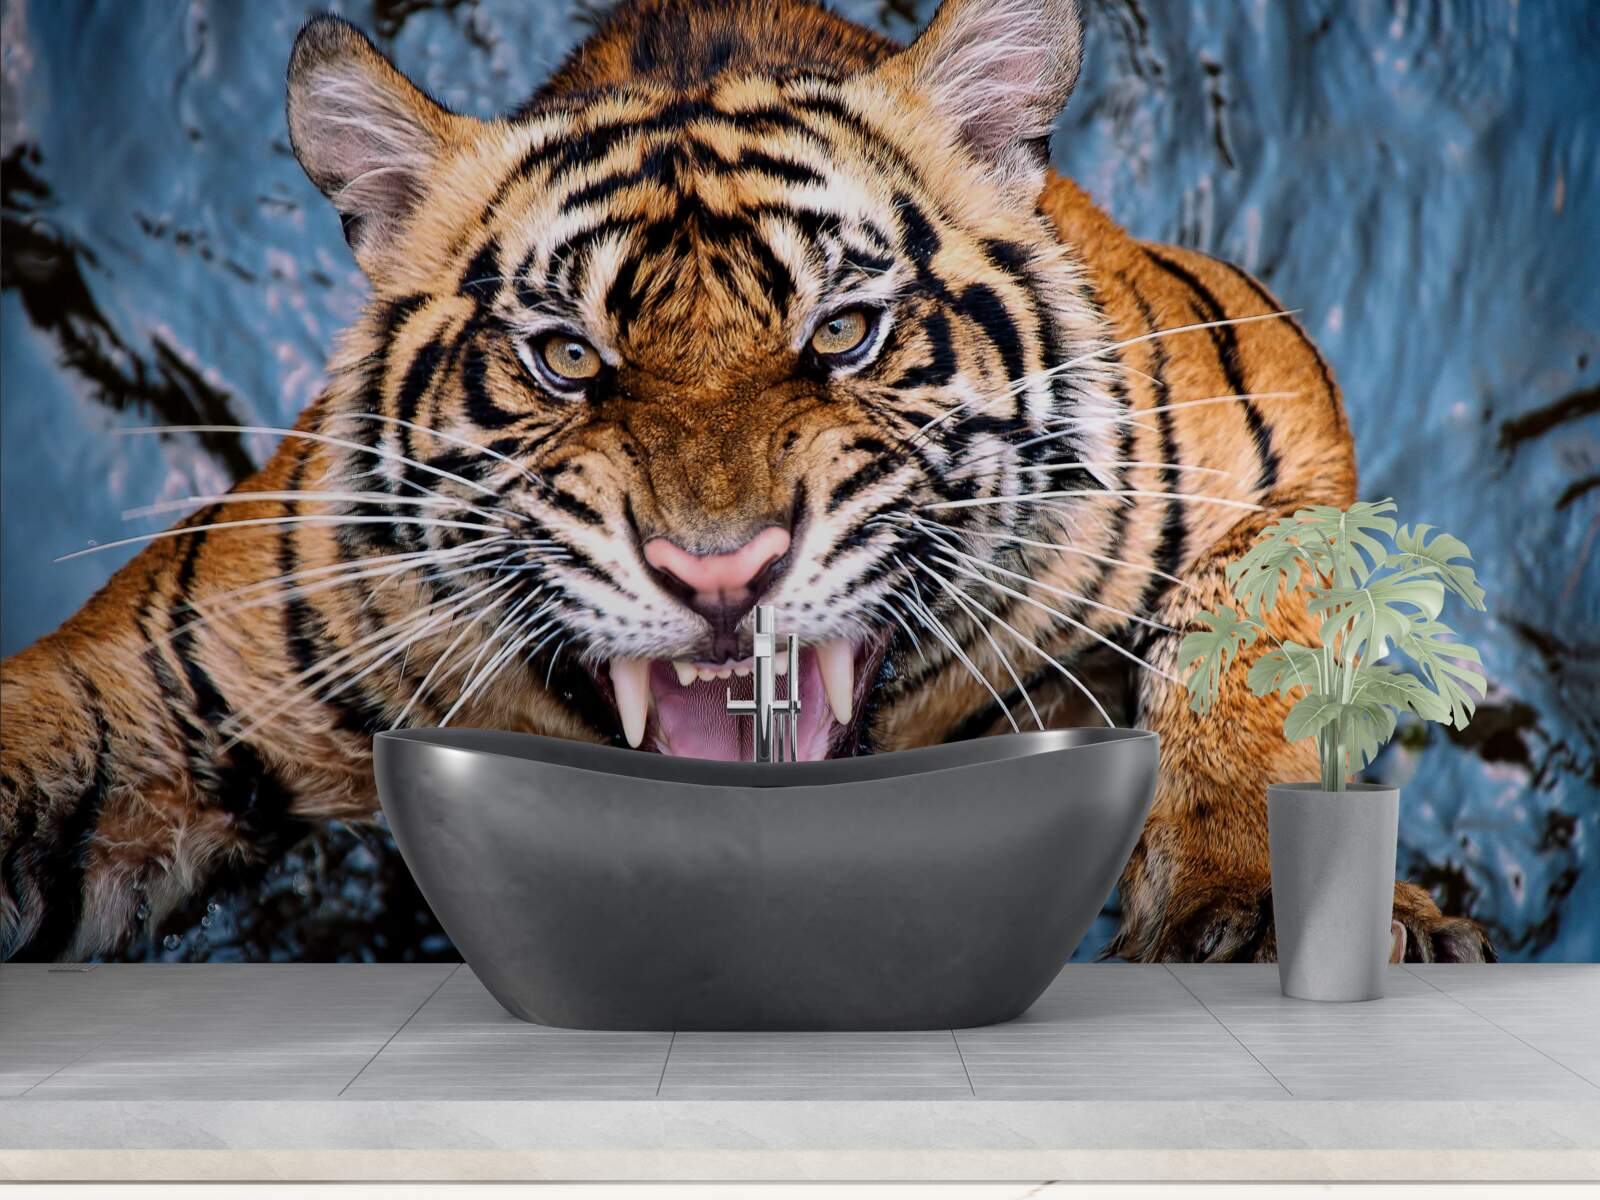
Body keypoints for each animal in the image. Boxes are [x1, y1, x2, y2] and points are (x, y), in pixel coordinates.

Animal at [0, 0, 1491, 965]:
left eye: (842, 332)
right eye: (565, 355)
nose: (720, 572)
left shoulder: (1276, 423)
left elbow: (1251, 649)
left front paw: (1252, 906)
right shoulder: (159, 693)